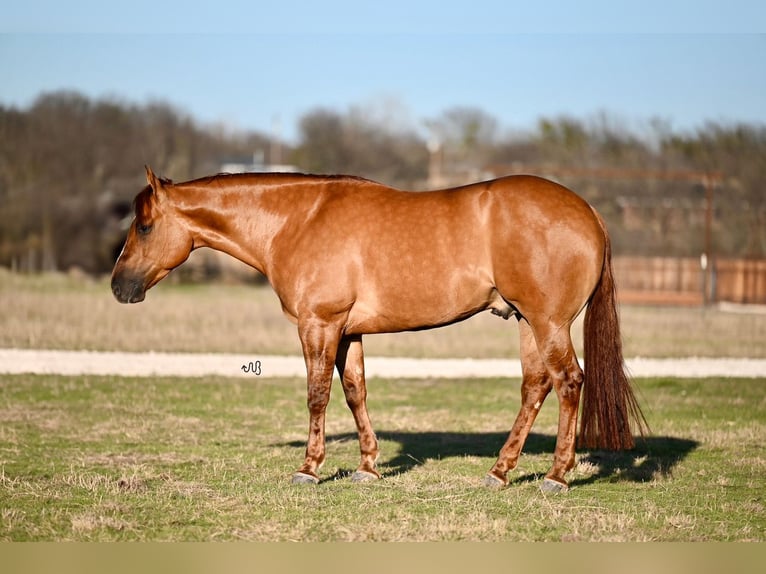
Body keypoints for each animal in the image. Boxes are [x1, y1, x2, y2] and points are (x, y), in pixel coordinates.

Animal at [109, 166, 648, 496]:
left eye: (144, 226)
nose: (119, 286)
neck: (298, 220)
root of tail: (588, 212)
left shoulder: (319, 324)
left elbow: (317, 395)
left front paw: (308, 468)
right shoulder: (347, 332)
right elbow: (355, 392)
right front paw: (367, 468)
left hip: (549, 323)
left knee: (569, 383)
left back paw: (556, 476)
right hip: (526, 322)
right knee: (536, 386)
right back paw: (499, 472)